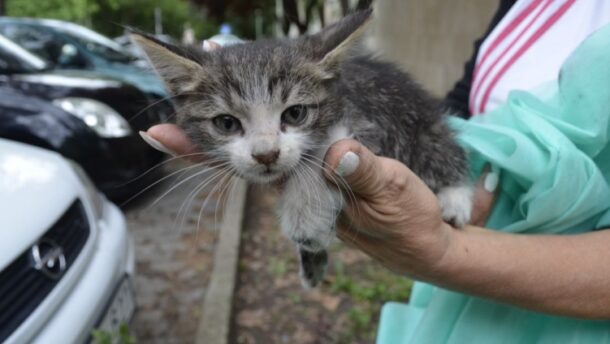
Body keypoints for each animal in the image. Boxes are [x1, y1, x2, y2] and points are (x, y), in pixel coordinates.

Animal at [133, 10, 472, 288]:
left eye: (295, 113)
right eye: (226, 123)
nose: (266, 154)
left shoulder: (370, 121)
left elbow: (326, 149)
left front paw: (306, 215)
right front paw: (312, 253)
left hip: (420, 124)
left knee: (445, 152)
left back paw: (455, 198)